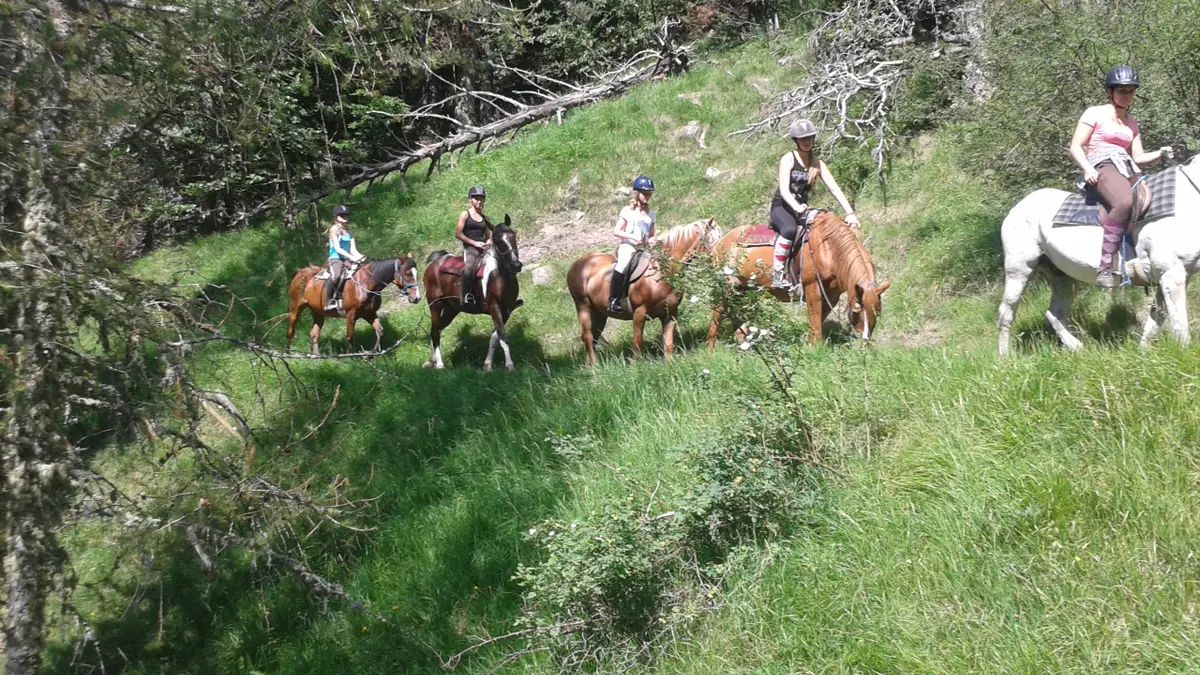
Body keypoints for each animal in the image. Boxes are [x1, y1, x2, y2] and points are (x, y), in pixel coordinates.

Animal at [285, 253, 422, 355]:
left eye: (416, 273)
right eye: (408, 274)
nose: (417, 298)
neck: (365, 283)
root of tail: (299, 272)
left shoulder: (369, 313)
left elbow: (380, 331)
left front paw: (371, 354)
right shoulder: (351, 315)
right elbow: (350, 337)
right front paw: (351, 357)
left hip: (318, 312)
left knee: (314, 334)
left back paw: (316, 356)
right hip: (296, 309)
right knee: (290, 331)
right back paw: (287, 354)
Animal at [424, 214, 523, 369]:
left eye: (513, 235)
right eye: (498, 240)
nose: (516, 265)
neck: (499, 276)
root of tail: (434, 263)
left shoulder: (507, 311)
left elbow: (495, 337)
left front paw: (487, 365)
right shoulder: (494, 307)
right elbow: (502, 336)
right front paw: (509, 365)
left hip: (451, 309)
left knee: (437, 329)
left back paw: (431, 361)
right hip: (435, 304)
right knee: (435, 332)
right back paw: (439, 364)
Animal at [566, 216, 715, 365]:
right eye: (712, 239)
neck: (661, 273)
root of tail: (578, 263)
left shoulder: (670, 313)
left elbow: (668, 342)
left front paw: (670, 365)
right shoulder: (639, 313)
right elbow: (637, 342)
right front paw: (633, 366)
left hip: (600, 313)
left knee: (593, 337)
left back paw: (590, 365)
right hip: (583, 307)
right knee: (588, 336)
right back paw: (595, 366)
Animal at [700, 210, 892, 345]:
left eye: (877, 312)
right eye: (856, 311)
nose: (864, 342)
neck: (828, 248)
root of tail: (720, 242)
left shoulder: (832, 295)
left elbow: (816, 321)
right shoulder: (812, 287)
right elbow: (815, 324)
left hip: (744, 290)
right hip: (725, 288)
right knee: (716, 319)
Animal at [993, 154, 1200, 355]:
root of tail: (1016, 208)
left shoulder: (1176, 277)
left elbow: (1155, 321)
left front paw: (1144, 353)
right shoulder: (1172, 275)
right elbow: (1179, 326)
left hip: (1062, 278)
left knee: (1054, 314)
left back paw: (1077, 348)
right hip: (1019, 270)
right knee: (1006, 313)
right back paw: (1005, 358)